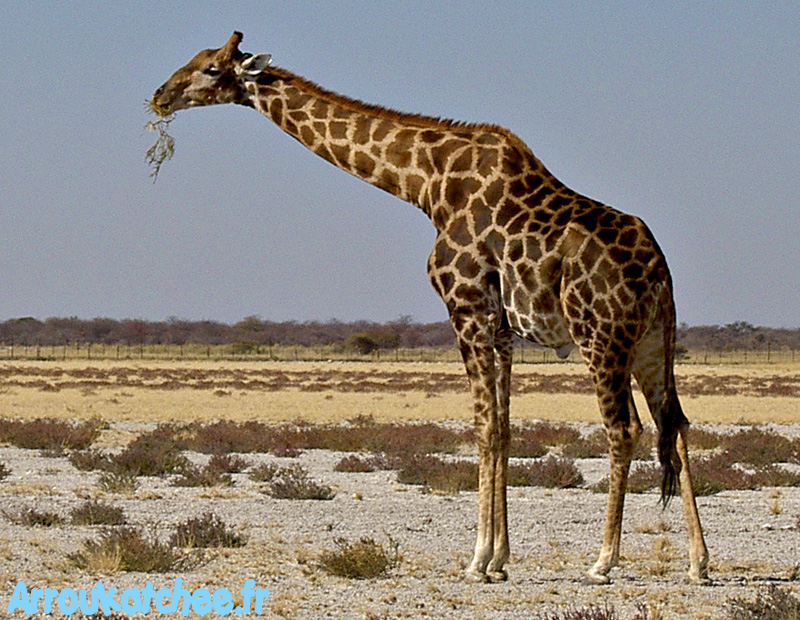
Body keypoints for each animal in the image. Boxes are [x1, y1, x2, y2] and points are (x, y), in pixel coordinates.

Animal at [153, 32, 708, 588]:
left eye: (211, 68)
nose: (160, 96)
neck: (428, 184)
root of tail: (659, 268)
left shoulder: (466, 308)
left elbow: (483, 428)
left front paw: (477, 560)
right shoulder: (500, 328)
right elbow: (504, 429)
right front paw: (500, 560)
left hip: (601, 336)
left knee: (625, 429)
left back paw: (603, 560)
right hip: (652, 341)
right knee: (675, 424)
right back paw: (698, 562)